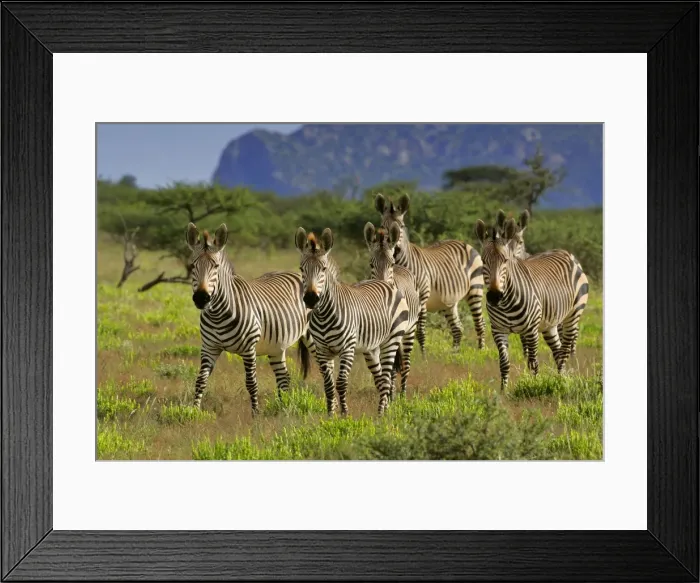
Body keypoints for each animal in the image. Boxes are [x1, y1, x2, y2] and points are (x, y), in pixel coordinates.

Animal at [185, 222, 313, 415]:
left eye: (216, 266)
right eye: (193, 266)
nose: (201, 298)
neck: (218, 315)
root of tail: (296, 273)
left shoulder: (248, 349)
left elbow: (251, 383)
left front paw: (255, 415)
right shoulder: (209, 347)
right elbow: (200, 380)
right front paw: (193, 412)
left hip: (314, 337)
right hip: (277, 346)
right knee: (284, 377)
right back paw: (283, 407)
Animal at [295, 226, 409, 416]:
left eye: (323, 269)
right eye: (301, 268)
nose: (311, 299)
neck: (323, 315)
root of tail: (385, 282)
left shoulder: (347, 348)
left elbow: (341, 383)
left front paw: (344, 415)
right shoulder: (322, 350)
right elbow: (328, 385)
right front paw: (330, 415)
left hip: (392, 340)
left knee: (387, 378)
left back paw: (381, 414)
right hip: (372, 347)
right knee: (380, 379)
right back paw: (383, 410)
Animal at [363, 221, 421, 400]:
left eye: (391, 263)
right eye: (371, 264)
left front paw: (390, 395)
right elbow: (382, 370)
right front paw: (386, 393)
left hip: (410, 329)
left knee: (406, 362)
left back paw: (402, 394)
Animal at [375, 193, 486, 350]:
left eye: (401, 226)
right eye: (382, 227)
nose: (395, 250)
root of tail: (464, 243)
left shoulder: (421, 298)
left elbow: (419, 331)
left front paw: (423, 355)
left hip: (475, 290)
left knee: (480, 323)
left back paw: (481, 350)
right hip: (448, 301)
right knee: (458, 328)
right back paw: (455, 353)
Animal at [474, 216, 589, 391]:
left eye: (505, 260)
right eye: (483, 261)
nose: (494, 297)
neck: (506, 304)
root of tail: (566, 252)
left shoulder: (531, 330)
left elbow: (533, 362)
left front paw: (534, 386)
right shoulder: (498, 330)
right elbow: (504, 363)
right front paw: (503, 391)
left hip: (572, 315)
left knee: (564, 351)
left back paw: (561, 383)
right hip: (549, 324)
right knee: (557, 351)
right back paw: (560, 379)